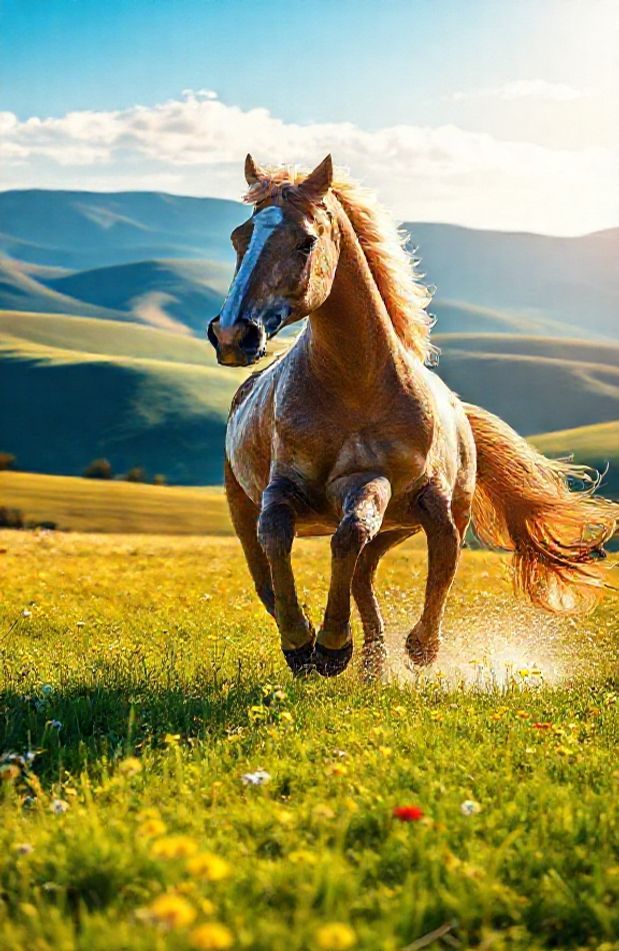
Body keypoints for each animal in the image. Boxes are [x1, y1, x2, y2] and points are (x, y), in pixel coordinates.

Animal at [208, 154, 616, 679]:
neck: (354, 384)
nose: (233, 335)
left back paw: (392, 657)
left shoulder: (375, 481)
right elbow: (277, 535)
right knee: (276, 572)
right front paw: (303, 644)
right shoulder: (285, 485)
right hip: (246, 505)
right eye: (240, 238)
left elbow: (361, 537)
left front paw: (337, 647)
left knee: (397, 562)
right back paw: (361, 659)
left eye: (306, 241)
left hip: (413, 518)